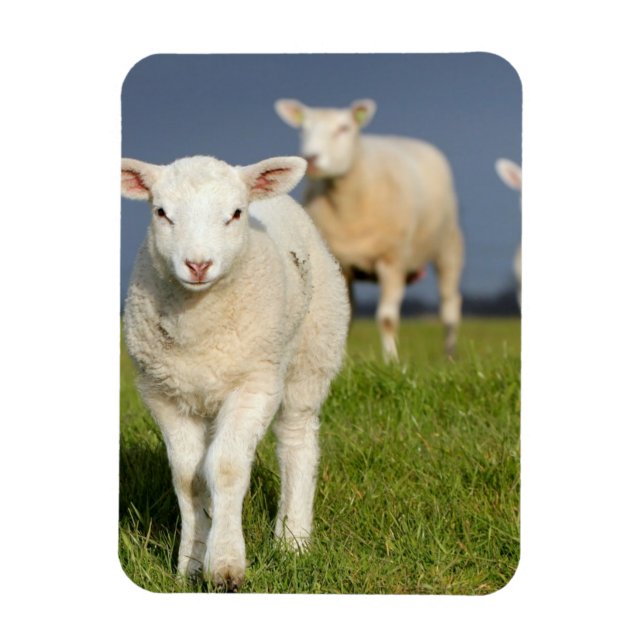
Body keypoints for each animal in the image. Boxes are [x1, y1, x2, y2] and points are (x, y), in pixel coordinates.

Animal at [121, 154, 350, 591]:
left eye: (236, 214)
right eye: (161, 212)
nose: (198, 264)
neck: (199, 324)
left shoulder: (254, 385)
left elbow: (226, 468)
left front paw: (226, 565)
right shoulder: (163, 394)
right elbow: (188, 477)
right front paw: (190, 564)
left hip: (312, 353)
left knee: (297, 441)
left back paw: (293, 540)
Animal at [274, 98, 464, 361]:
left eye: (344, 128)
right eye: (303, 129)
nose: (311, 158)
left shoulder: (392, 261)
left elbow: (387, 319)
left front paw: (392, 361)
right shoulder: (341, 266)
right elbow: (345, 315)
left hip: (448, 248)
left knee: (449, 305)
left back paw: (450, 355)